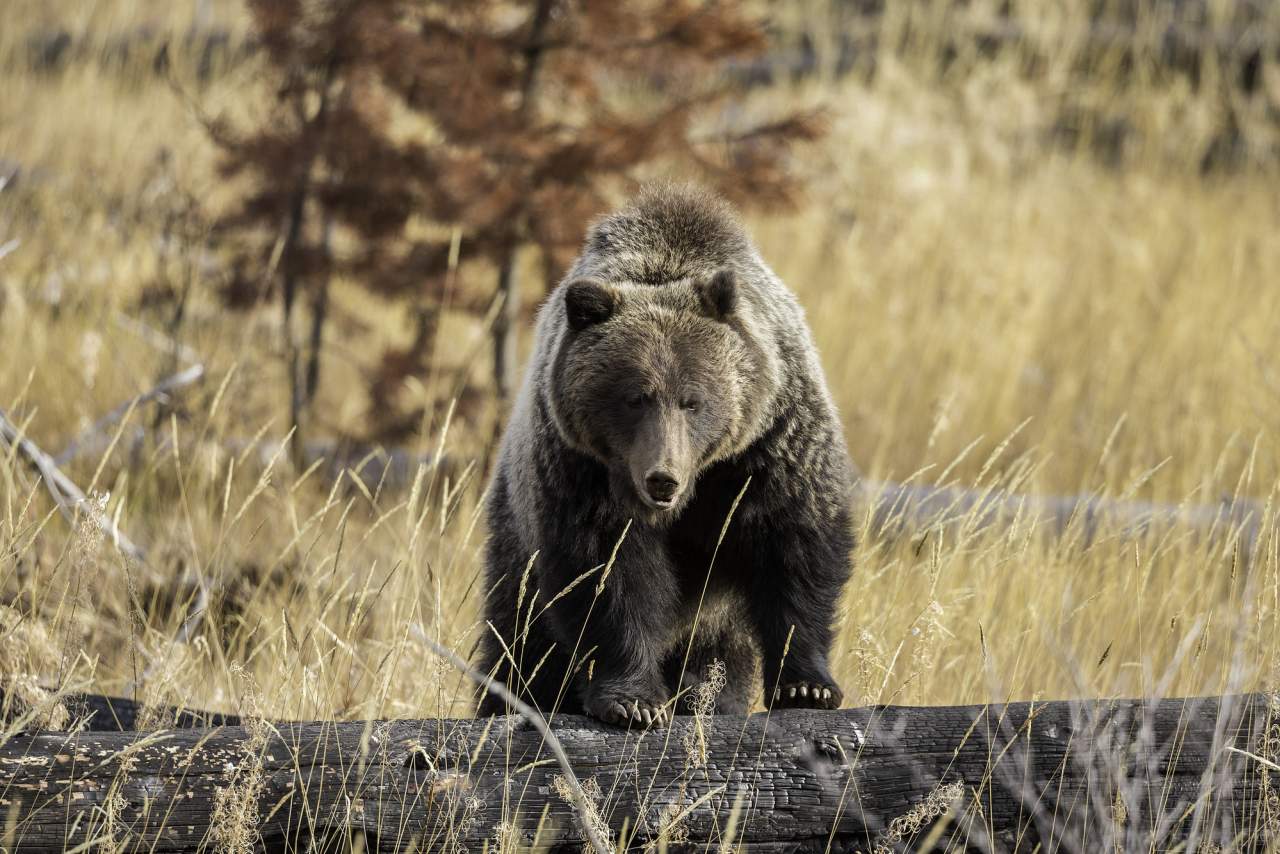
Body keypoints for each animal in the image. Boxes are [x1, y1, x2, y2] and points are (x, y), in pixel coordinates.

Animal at [476, 184, 855, 727]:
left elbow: (796, 548)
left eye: (692, 399)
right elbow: (607, 573)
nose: (662, 479)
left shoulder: (772, 444)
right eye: (635, 397)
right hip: (515, 533)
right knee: (522, 637)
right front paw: (633, 701)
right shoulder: (583, 468)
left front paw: (807, 686)